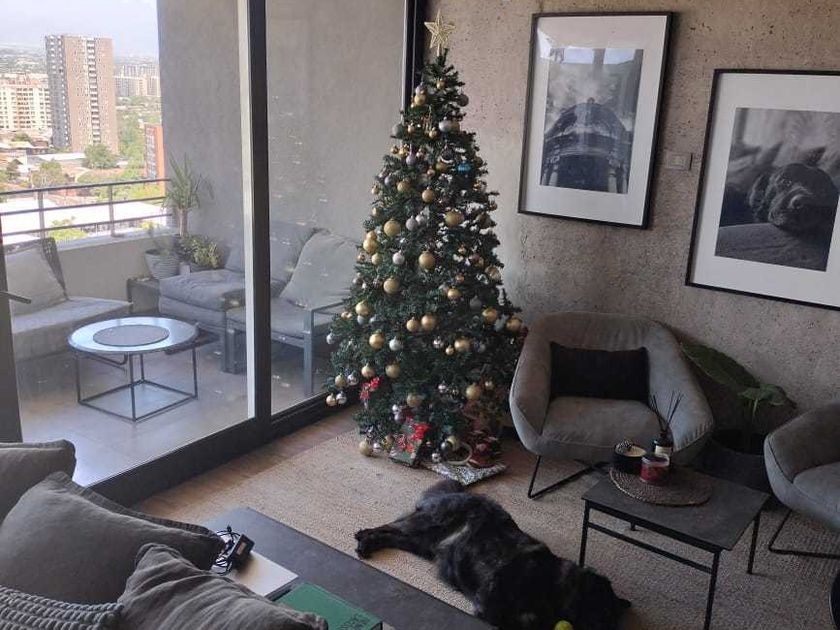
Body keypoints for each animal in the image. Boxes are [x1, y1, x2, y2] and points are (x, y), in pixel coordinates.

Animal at [355, 480, 630, 630]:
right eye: (604, 610)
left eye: (614, 619)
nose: (609, 627)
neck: (553, 583)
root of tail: (460, 491)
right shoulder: (490, 602)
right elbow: (515, 622)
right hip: (427, 524)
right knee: (391, 525)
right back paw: (364, 537)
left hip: (423, 544)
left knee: (394, 536)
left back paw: (369, 543)